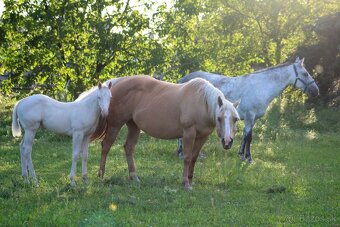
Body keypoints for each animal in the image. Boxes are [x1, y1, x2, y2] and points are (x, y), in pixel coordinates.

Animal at [90, 75, 239, 189]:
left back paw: (134, 177)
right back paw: (101, 174)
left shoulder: (203, 136)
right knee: (106, 146)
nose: (227, 142)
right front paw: (186, 183)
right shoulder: (189, 133)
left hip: (134, 126)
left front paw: (190, 180)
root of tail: (118, 82)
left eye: (236, 119)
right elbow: (187, 157)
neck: (202, 102)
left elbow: (194, 158)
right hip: (115, 125)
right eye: (219, 118)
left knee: (129, 148)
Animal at [177, 57, 320, 162]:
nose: (316, 91)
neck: (261, 86)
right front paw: (248, 158)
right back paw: (181, 153)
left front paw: (242, 154)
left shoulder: (253, 119)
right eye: (305, 74)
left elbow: (246, 136)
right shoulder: (250, 116)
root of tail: (184, 80)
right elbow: (249, 137)